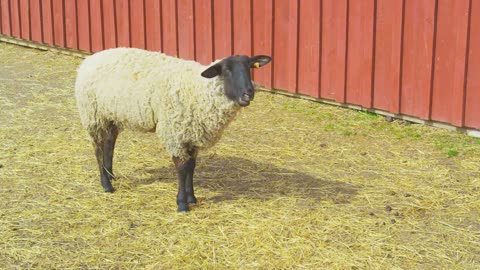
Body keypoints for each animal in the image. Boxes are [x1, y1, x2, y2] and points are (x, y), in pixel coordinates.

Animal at [73, 49, 272, 213]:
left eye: (250, 67)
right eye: (227, 70)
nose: (248, 93)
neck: (199, 90)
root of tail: (90, 59)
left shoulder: (192, 134)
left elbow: (192, 166)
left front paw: (192, 197)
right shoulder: (175, 134)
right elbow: (182, 169)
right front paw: (182, 204)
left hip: (110, 115)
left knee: (109, 144)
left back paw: (111, 175)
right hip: (93, 115)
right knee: (98, 149)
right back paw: (106, 185)